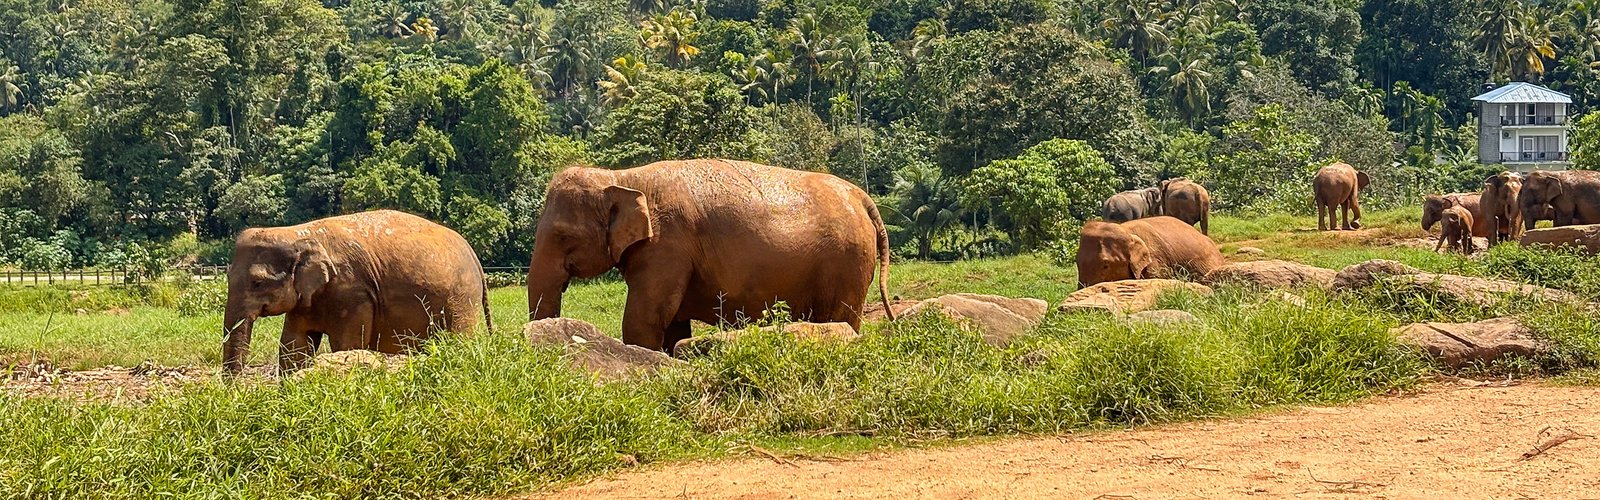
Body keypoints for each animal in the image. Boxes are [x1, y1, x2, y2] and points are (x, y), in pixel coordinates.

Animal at [221, 210, 491, 376]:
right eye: (227, 277)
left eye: (257, 282)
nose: (236, 393)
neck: (297, 232)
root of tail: (475, 257)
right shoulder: (307, 299)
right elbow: (294, 345)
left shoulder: (352, 294)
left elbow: (345, 344)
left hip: (462, 297)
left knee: (459, 339)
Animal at [526, 159, 893, 352]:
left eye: (562, 236)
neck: (620, 176)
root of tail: (862, 197)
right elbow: (672, 323)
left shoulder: (667, 245)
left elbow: (645, 319)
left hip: (847, 261)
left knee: (840, 317)